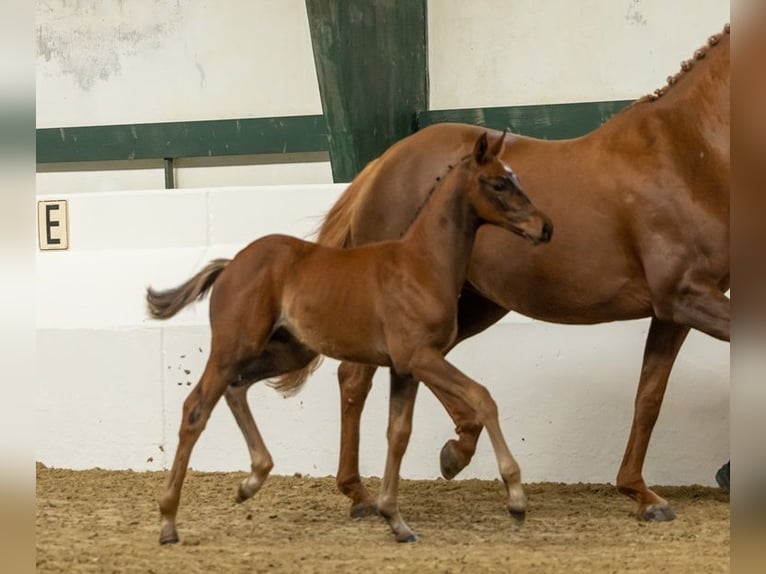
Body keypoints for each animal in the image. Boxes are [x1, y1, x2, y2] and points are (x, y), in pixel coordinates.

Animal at [147, 132, 553, 544]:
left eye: (517, 178)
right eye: (500, 184)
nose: (546, 227)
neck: (421, 263)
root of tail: (231, 264)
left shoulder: (403, 369)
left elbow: (398, 433)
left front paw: (396, 520)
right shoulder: (420, 357)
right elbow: (483, 398)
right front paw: (516, 499)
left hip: (287, 352)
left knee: (236, 389)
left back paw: (251, 481)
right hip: (233, 348)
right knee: (196, 409)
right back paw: (168, 522)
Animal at [287, 24, 730, 522]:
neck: (688, 153)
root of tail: (382, 163)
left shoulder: (674, 309)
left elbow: (649, 397)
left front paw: (641, 493)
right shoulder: (688, 296)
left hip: (471, 304)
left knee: (400, 367)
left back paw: (412, 469)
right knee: (367, 373)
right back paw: (395, 478)